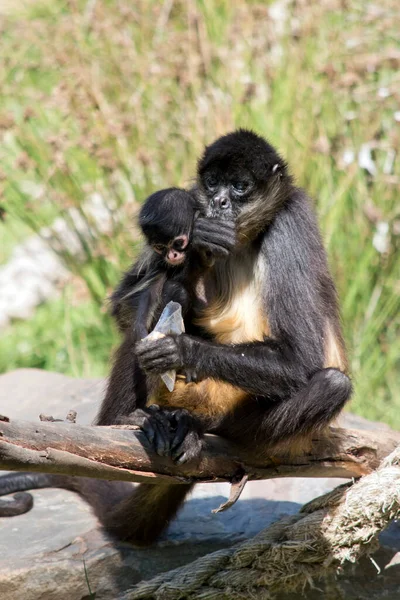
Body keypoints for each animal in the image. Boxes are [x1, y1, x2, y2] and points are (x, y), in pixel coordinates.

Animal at [0, 131, 350, 548]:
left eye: (240, 186)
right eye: (212, 183)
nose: (219, 203)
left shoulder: (290, 222)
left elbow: (301, 359)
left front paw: (177, 347)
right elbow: (124, 307)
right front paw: (193, 253)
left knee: (332, 384)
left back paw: (199, 429)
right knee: (145, 317)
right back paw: (130, 419)